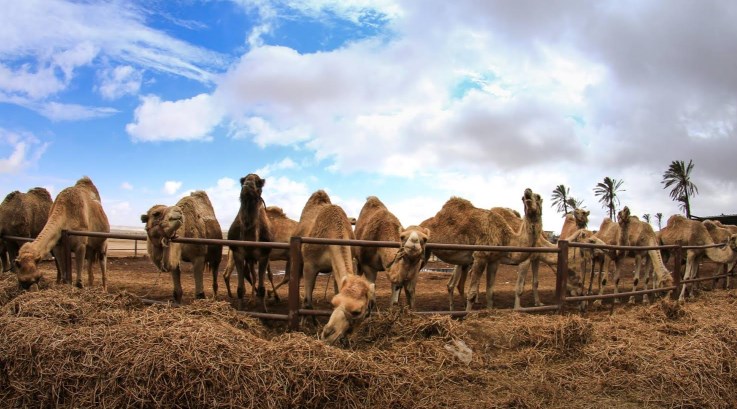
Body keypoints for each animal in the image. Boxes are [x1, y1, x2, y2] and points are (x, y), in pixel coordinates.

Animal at [227, 172, 274, 310]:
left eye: (259, 182)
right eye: (243, 181)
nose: (247, 185)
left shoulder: (264, 255)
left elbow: (262, 288)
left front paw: (264, 311)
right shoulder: (238, 253)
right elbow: (240, 289)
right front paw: (240, 309)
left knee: (260, 276)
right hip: (249, 260)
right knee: (251, 275)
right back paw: (252, 300)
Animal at [292, 190, 374, 342]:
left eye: (357, 311)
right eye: (334, 303)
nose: (327, 334)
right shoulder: (309, 266)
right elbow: (307, 300)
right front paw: (308, 325)